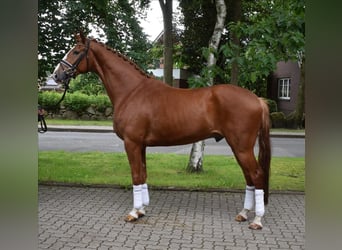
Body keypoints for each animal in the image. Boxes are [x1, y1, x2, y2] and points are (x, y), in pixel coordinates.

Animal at [51, 33, 270, 230]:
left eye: (76, 51)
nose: (56, 75)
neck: (132, 91)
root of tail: (257, 100)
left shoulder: (131, 143)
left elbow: (136, 175)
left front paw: (133, 213)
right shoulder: (141, 145)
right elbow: (143, 174)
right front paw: (141, 210)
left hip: (241, 147)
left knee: (257, 174)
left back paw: (257, 220)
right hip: (238, 147)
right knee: (249, 176)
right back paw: (243, 214)